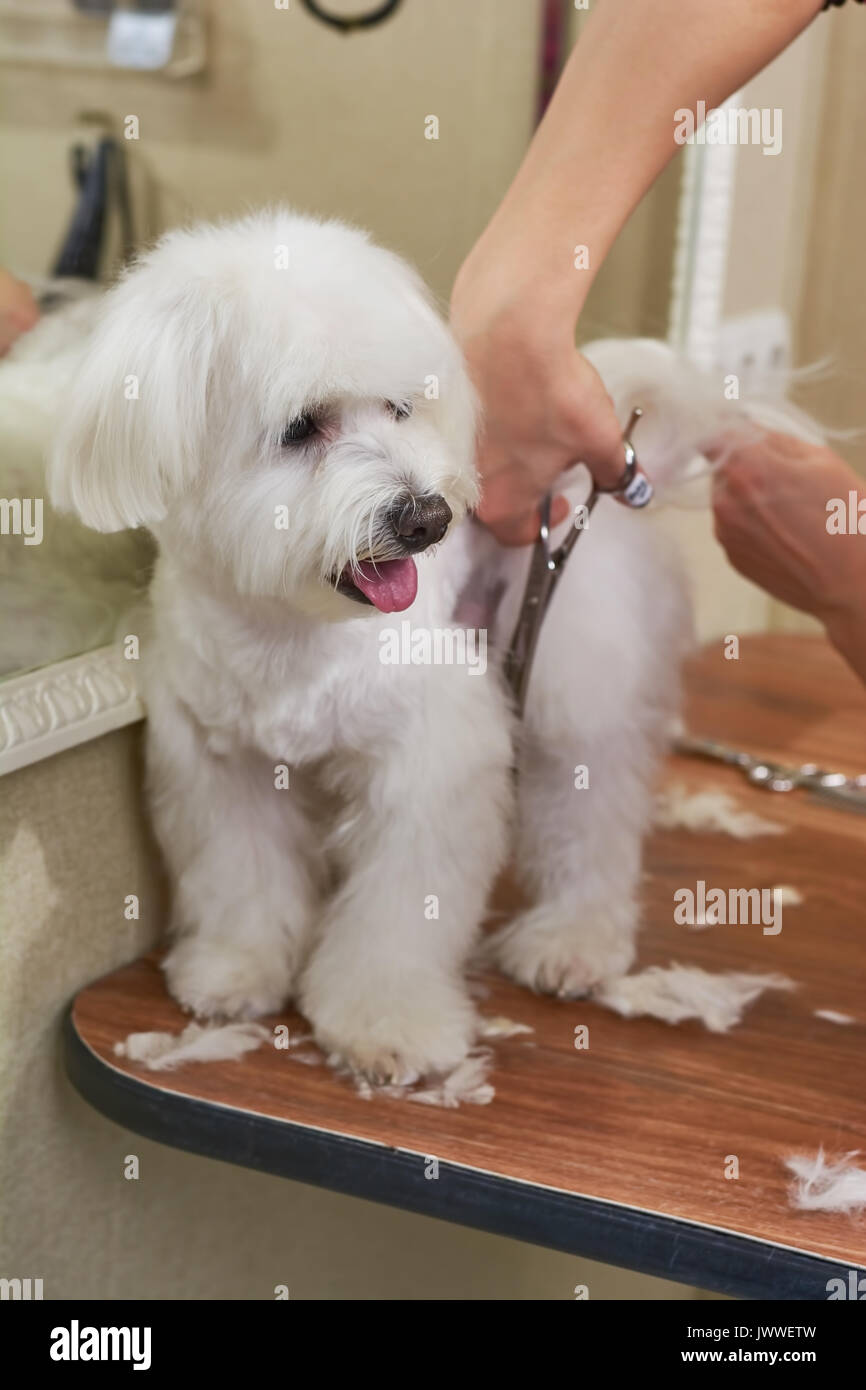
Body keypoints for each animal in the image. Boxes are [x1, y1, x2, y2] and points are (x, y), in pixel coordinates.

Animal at [42, 208, 811, 1084]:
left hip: (575, 660)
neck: (297, 630)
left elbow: (401, 910)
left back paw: (572, 939)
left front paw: (390, 1023)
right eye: (301, 428)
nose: (428, 518)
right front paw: (236, 968)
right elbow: (242, 875)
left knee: (594, 806)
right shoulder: (215, 759)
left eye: (398, 407)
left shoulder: (431, 763)